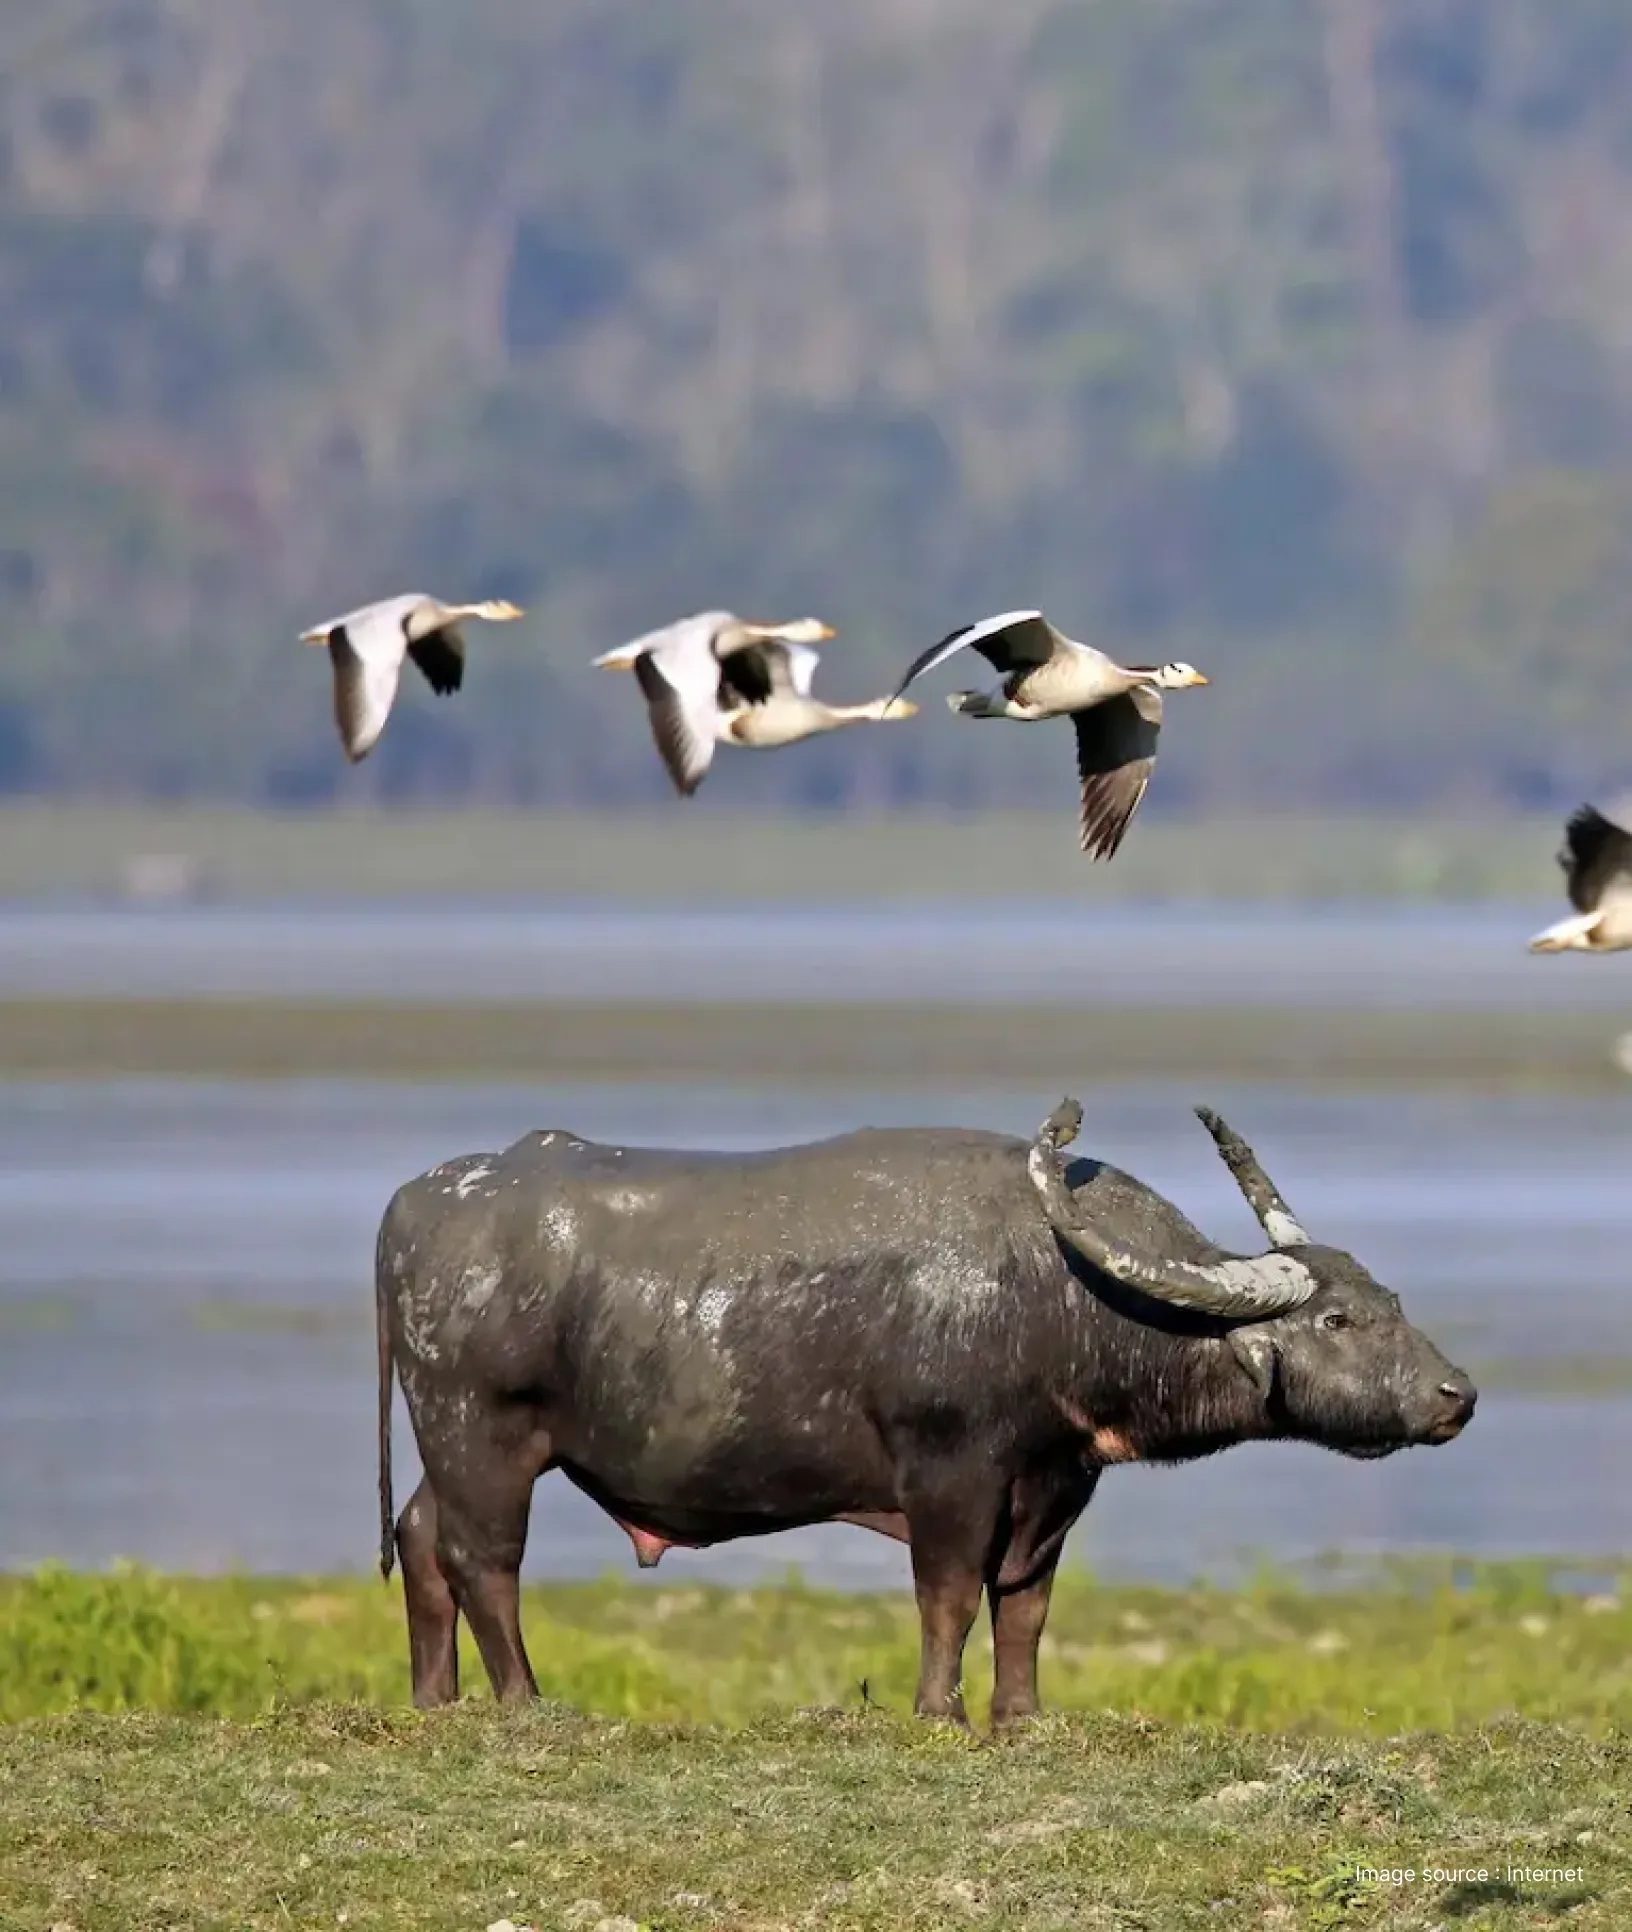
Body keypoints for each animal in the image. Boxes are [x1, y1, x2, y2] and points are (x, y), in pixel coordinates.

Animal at [374, 1097, 1475, 1722]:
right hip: (484, 1433)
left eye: (1389, 1300)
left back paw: (435, 1703)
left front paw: (1021, 1718)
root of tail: (417, 1203)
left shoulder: (1055, 1484)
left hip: (452, 1445)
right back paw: (524, 1703)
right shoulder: (952, 1471)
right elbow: (947, 1595)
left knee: (420, 1537)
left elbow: (1025, 1605)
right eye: (1335, 1318)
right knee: (483, 1558)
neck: (1063, 1290)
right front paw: (941, 1713)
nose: (1455, 1394)